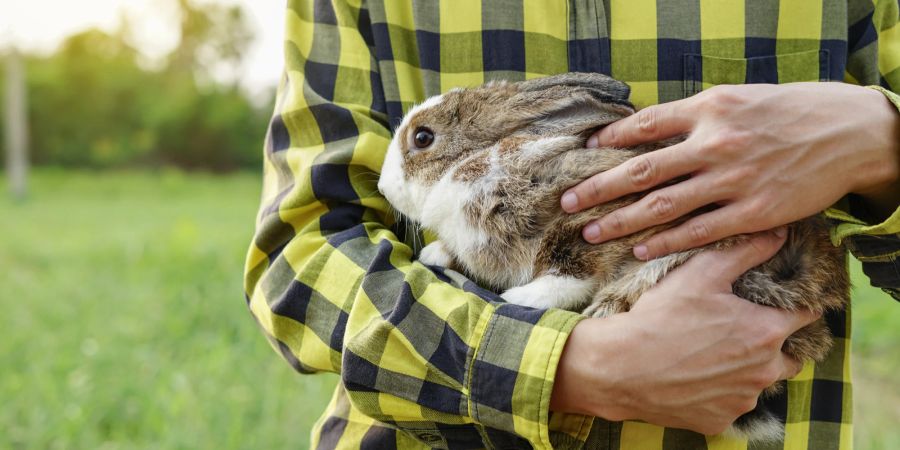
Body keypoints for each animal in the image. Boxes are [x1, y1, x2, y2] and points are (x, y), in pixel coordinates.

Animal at [376, 72, 848, 442]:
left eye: (423, 138)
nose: (381, 187)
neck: (474, 163)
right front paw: (437, 252)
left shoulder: (589, 220)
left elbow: (568, 271)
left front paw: (521, 298)